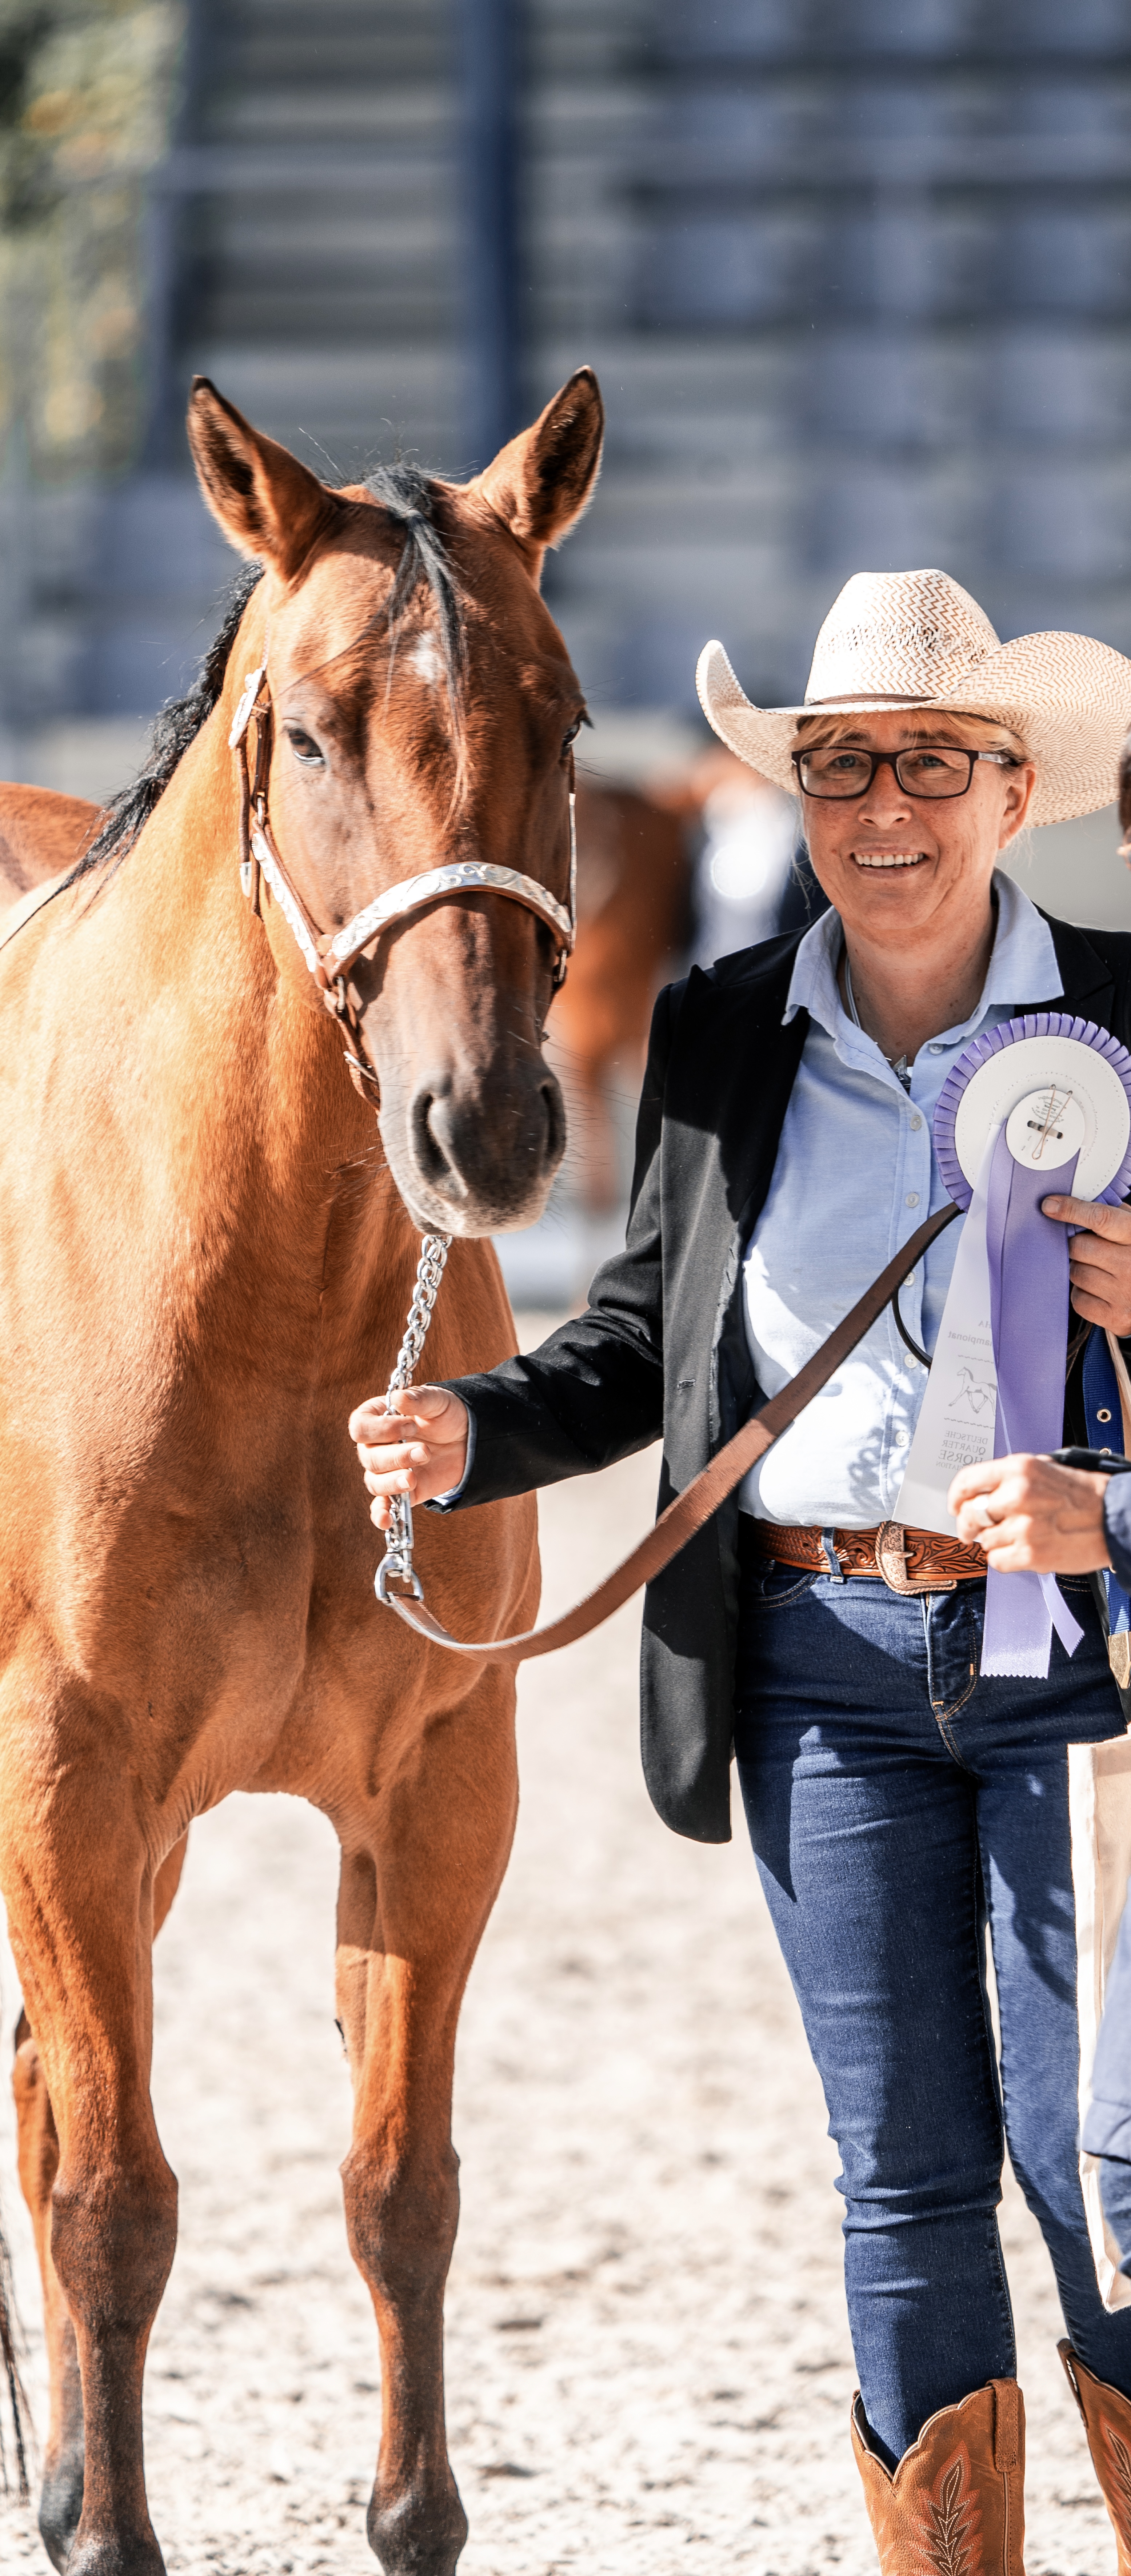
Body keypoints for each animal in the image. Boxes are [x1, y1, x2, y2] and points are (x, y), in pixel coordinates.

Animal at [0, 361, 604, 2576]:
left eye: (562, 716)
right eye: (319, 729)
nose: (483, 1127)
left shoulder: (432, 1788)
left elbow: (395, 2190)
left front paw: (404, 2514)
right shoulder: (65, 1782)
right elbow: (114, 2196)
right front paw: (111, 2538)